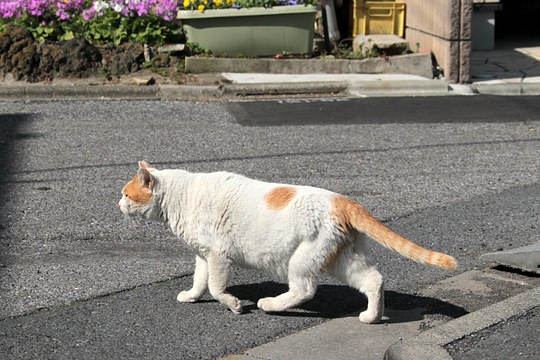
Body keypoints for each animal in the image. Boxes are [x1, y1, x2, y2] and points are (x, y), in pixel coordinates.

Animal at [118, 160, 456, 324]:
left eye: (125, 194)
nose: (117, 204)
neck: (182, 196)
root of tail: (343, 201)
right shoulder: (204, 257)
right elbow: (200, 282)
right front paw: (190, 296)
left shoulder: (218, 255)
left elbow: (215, 287)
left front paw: (234, 305)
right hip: (344, 259)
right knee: (374, 280)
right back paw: (371, 318)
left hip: (303, 258)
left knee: (304, 290)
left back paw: (270, 305)